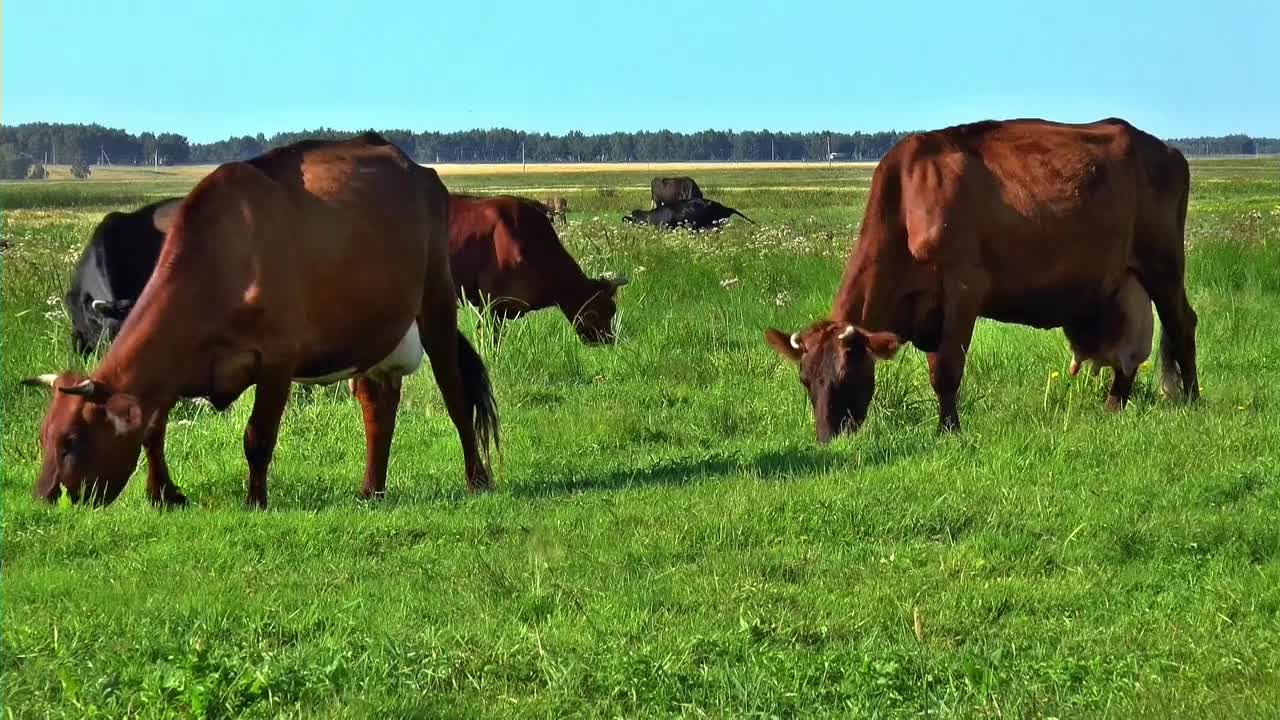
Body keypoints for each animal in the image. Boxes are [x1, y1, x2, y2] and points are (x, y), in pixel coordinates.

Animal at [28, 133, 499, 504]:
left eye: (72, 441)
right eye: (44, 435)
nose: (43, 497)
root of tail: (415, 168)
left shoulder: (277, 359)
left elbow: (257, 436)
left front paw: (255, 501)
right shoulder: (172, 367)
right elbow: (152, 428)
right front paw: (163, 494)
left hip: (436, 301)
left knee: (456, 396)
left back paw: (477, 480)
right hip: (371, 332)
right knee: (378, 404)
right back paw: (372, 489)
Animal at [762, 116, 1192, 443]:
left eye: (847, 374)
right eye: (805, 379)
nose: (827, 438)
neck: (907, 204)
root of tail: (1166, 150)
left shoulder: (962, 291)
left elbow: (946, 371)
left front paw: (949, 432)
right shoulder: (932, 310)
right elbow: (936, 369)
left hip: (1164, 264)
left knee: (1182, 323)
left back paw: (1192, 399)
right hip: (1122, 284)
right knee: (1129, 351)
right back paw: (1113, 407)